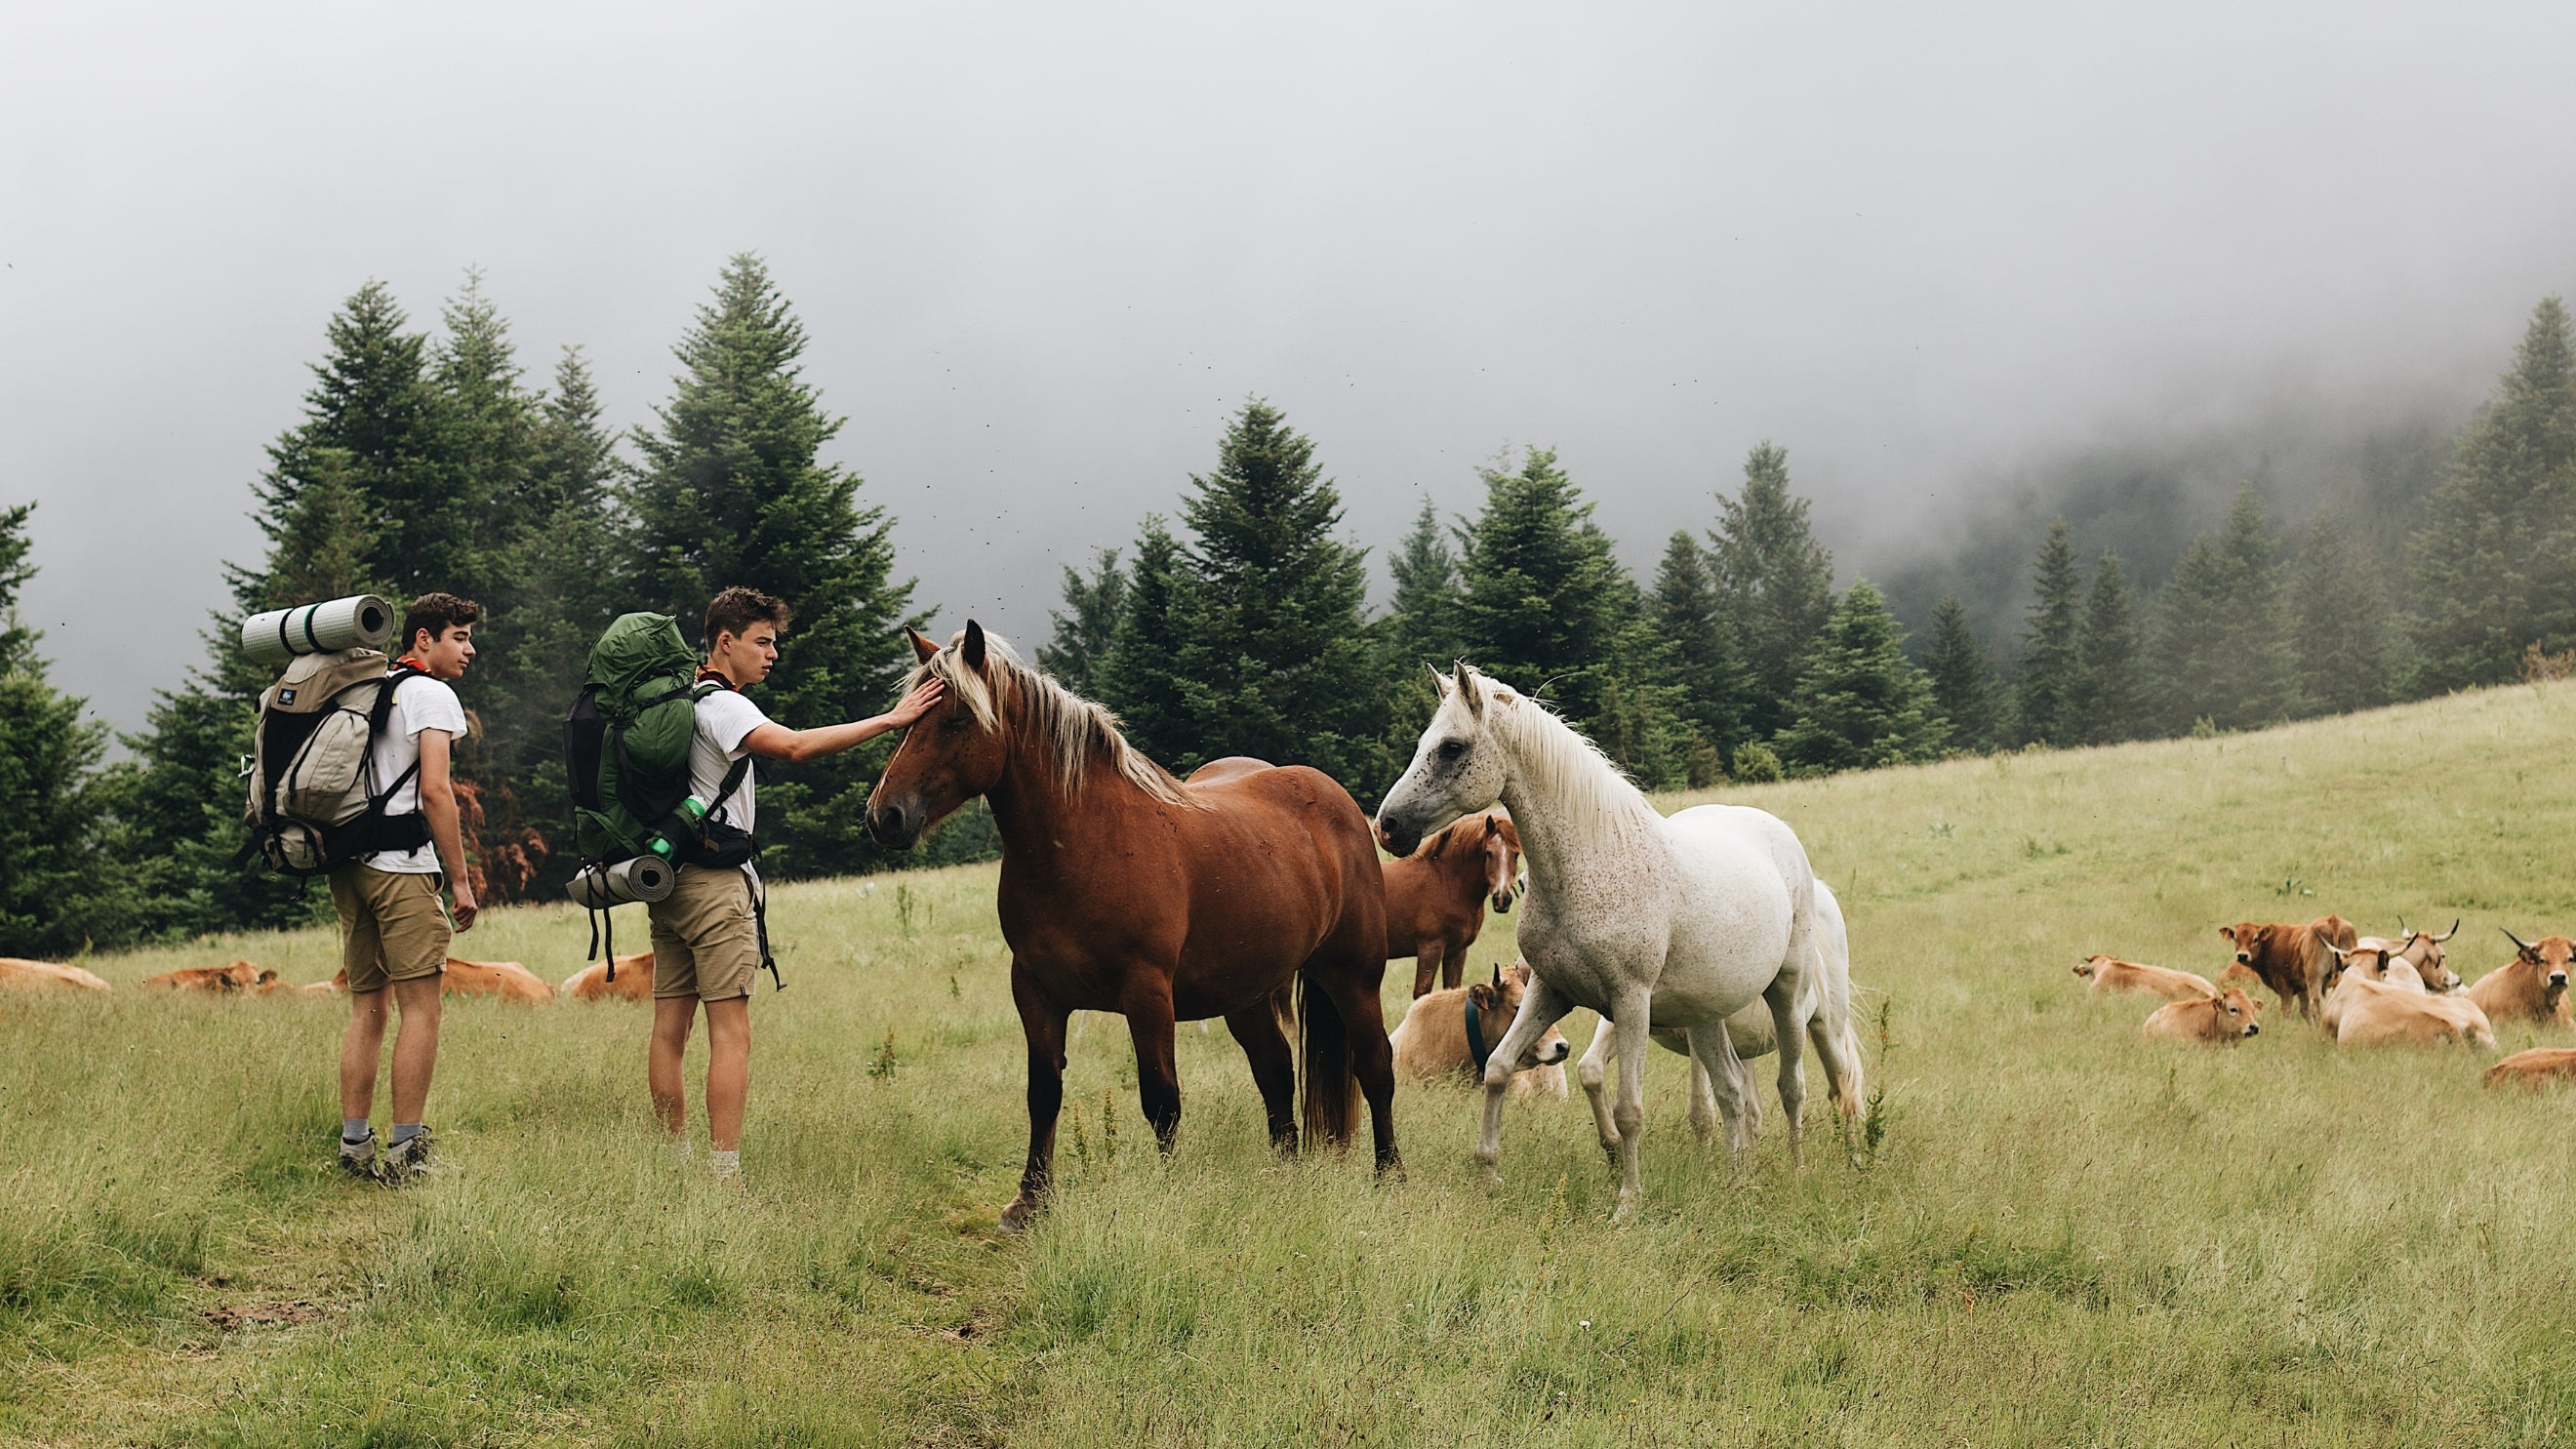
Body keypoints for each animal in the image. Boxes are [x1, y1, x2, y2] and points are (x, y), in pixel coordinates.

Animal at [867, 624, 1399, 1230]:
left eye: (957, 719)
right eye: (908, 720)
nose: (885, 816)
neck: (1085, 841)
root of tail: (1340, 803)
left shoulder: (1147, 993)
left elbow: (1161, 1099)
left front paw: (1168, 1195)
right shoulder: (1035, 991)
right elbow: (1043, 1093)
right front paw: (1030, 1200)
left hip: (1353, 977)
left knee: (1376, 1067)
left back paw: (1390, 1177)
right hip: (1244, 995)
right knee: (1276, 1071)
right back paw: (1285, 1179)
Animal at [1381, 812, 1524, 997]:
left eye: (1516, 854)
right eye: (1488, 852)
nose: (1502, 899)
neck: (1446, 881)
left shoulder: (1456, 952)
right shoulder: (1430, 949)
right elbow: (1422, 993)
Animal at [2219, 914, 2357, 1021]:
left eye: (2255, 939)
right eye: (2236, 938)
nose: (2242, 955)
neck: (2270, 943)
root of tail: (2332, 920)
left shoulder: (2285, 987)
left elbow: (2287, 1011)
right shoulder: (2302, 988)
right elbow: (2304, 1010)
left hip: (2315, 978)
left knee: (2315, 1004)